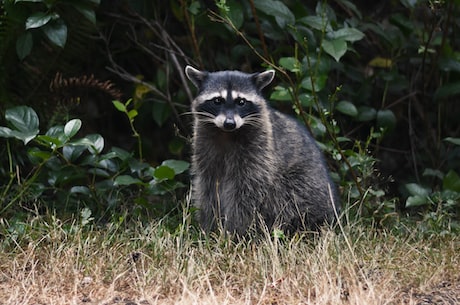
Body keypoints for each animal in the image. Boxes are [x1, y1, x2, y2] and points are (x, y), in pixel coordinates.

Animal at [185, 65, 340, 234]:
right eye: (217, 101)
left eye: (241, 102)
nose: (229, 123)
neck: (227, 133)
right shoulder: (204, 148)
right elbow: (209, 187)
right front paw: (209, 227)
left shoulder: (259, 152)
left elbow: (247, 191)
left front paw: (233, 231)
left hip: (306, 184)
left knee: (287, 194)